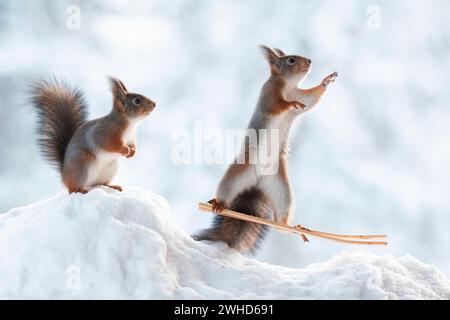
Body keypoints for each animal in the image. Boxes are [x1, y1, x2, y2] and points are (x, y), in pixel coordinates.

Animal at [194, 46, 338, 254]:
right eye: (291, 60)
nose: (309, 61)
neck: (288, 87)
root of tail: (256, 183)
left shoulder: (301, 95)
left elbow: (310, 100)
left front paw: (326, 80)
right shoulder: (269, 94)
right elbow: (277, 106)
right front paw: (290, 104)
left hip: (281, 189)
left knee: (280, 222)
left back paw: (293, 228)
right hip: (238, 174)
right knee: (226, 191)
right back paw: (219, 203)